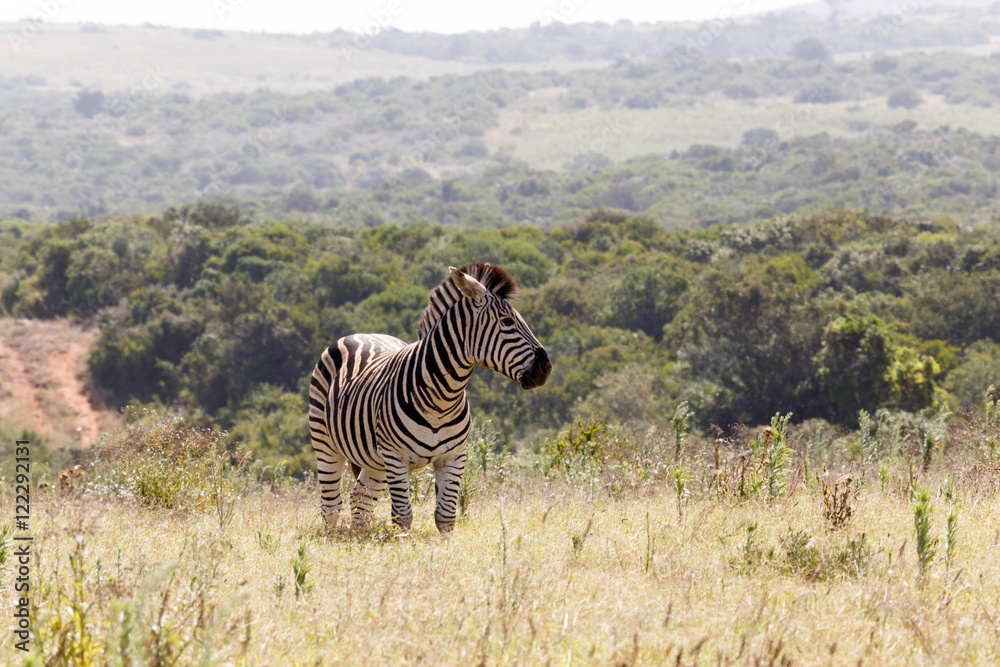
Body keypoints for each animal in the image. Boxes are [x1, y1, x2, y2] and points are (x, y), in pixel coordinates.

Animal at [308, 262, 551, 534]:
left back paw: (361, 536)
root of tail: (360, 334)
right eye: (507, 321)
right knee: (331, 505)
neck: (442, 399)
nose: (546, 367)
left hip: (374, 460)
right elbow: (402, 517)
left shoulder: (454, 457)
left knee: (360, 497)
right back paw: (332, 537)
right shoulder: (396, 458)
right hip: (326, 444)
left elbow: (446, 516)